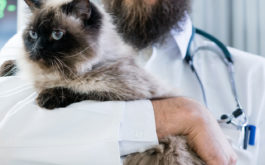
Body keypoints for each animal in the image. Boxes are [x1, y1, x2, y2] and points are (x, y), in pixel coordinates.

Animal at [0, 0, 204, 164]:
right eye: (33, 35)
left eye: (57, 34)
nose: (37, 49)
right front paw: (8, 67)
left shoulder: (123, 93)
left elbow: (83, 91)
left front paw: (47, 97)